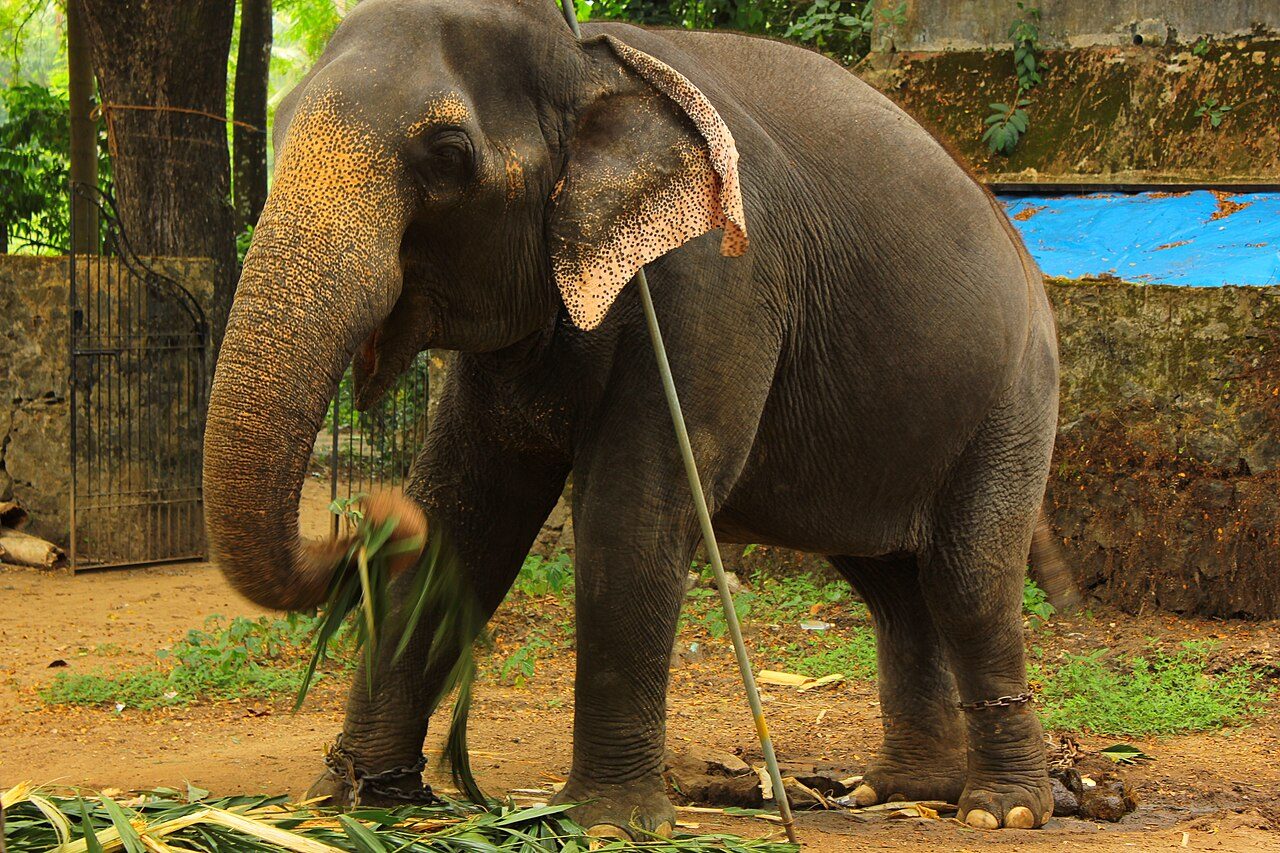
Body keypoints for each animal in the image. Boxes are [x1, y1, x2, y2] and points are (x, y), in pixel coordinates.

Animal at [203, 0, 1060, 836]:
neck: (587, 59)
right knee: (892, 584)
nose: (371, 516)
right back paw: (907, 788)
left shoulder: (715, 277)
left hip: (1018, 397)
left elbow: (634, 508)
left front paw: (609, 822)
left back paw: (1002, 808)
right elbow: (465, 515)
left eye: (448, 154)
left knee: (968, 578)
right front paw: (352, 798)